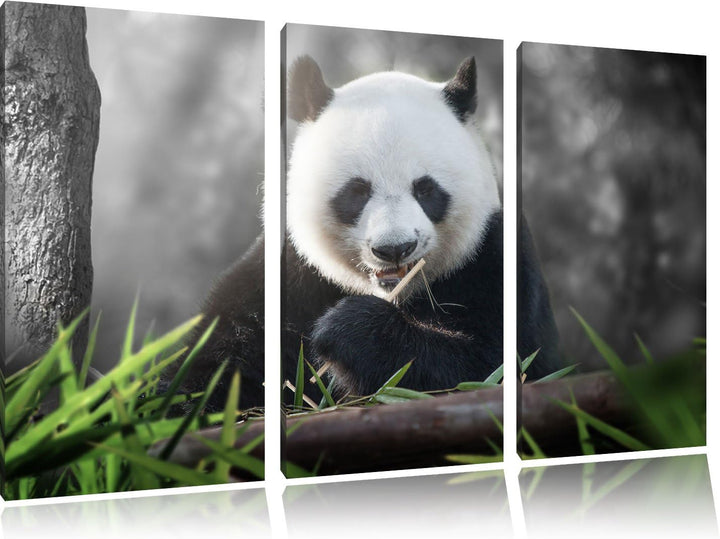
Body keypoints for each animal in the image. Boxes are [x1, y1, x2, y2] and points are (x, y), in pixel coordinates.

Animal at [172, 56, 561, 412]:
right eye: (357, 191)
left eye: (426, 189)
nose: (395, 248)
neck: (393, 294)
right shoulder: (285, 278)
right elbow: (214, 363)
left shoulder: (493, 261)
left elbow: (497, 366)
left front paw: (348, 330)